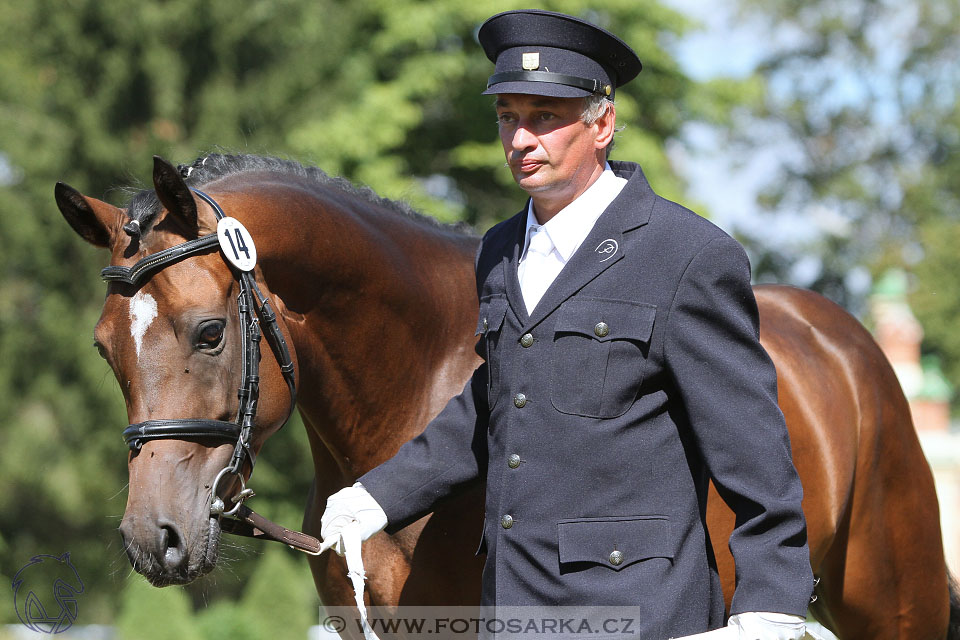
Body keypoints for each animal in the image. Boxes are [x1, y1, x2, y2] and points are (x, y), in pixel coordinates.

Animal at [56, 155, 956, 640]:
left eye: (210, 332)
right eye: (103, 349)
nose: (154, 538)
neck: (412, 390)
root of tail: (843, 342)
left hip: (893, 603)